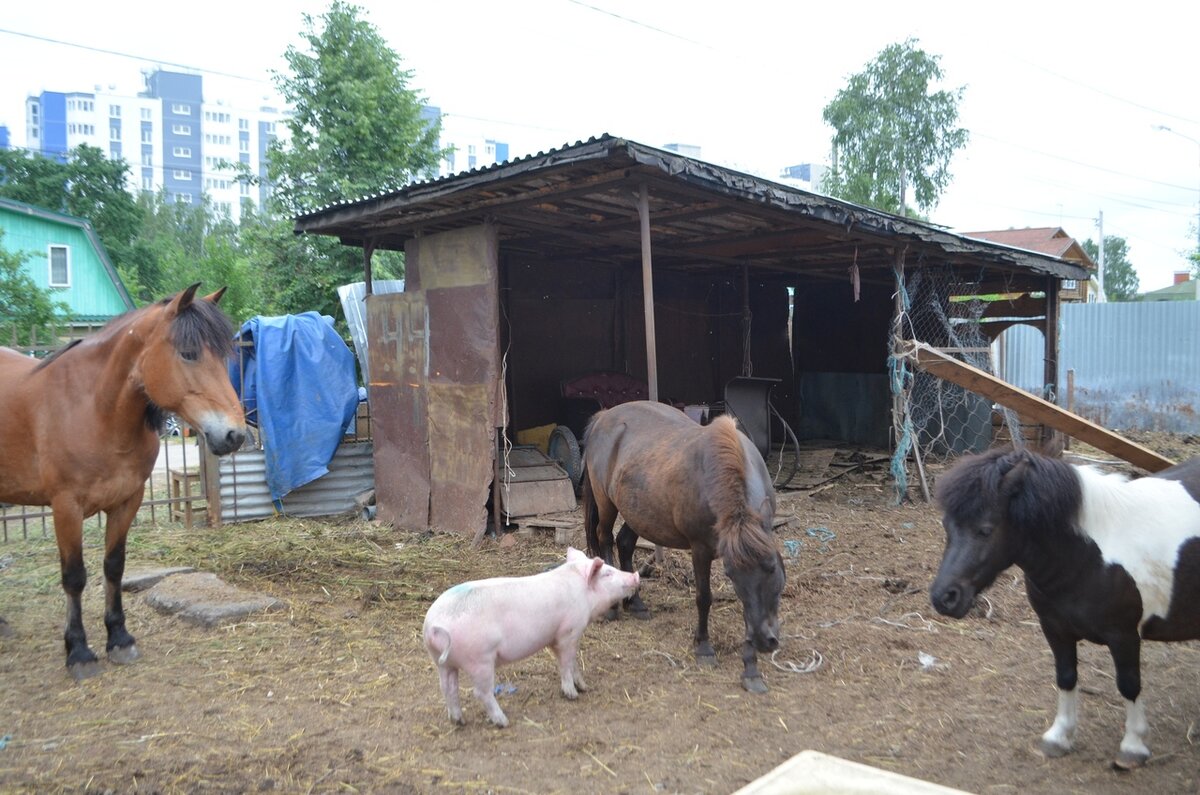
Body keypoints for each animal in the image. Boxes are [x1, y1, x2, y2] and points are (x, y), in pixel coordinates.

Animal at [0, 283, 246, 682]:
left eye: (225, 355)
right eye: (188, 353)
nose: (234, 435)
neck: (93, 409)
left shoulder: (127, 501)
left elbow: (114, 566)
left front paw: (119, 638)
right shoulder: (66, 507)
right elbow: (74, 577)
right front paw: (79, 651)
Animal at [427, 547, 643, 730]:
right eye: (607, 573)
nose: (635, 575)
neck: (583, 593)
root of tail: (432, 626)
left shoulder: (563, 638)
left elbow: (572, 662)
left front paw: (584, 687)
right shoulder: (568, 632)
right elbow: (566, 664)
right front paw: (572, 695)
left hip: (443, 663)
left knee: (447, 688)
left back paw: (458, 721)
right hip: (480, 660)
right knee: (480, 692)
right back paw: (503, 722)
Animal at [583, 401, 787, 696]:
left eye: (772, 568)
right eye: (730, 575)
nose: (765, 640)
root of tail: (603, 416)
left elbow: (749, 611)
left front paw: (751, 669)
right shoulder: (700, 550)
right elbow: (704, 598)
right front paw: (704, 648)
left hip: (639, 512)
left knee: (625, 544)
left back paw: (636, 603)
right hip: (607, 504)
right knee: (605, 540)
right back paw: (613, 608)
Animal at [931, 449, 1195, 773]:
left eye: (985, 530)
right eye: (947, 526)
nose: (944, 597)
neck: (1090, 558)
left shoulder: (1124, 637)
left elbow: (1129, 685)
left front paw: (1133, 747)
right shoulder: (1055, 629)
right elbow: (1066, 676)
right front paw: (1059, 737)